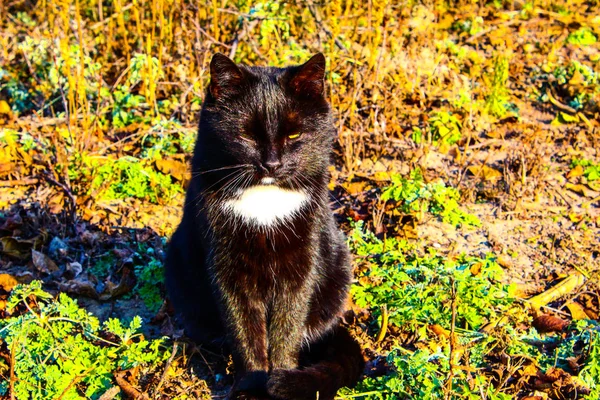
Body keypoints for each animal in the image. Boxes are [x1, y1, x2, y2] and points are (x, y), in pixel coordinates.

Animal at [164, 53, 364, 400]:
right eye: (246, 135)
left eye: (294, 135)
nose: (272, 164)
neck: (265, 204)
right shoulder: (226, 268)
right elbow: (245, 332)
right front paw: (251, 387)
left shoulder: (301, 265)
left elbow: (287, 327)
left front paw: (281, 380)